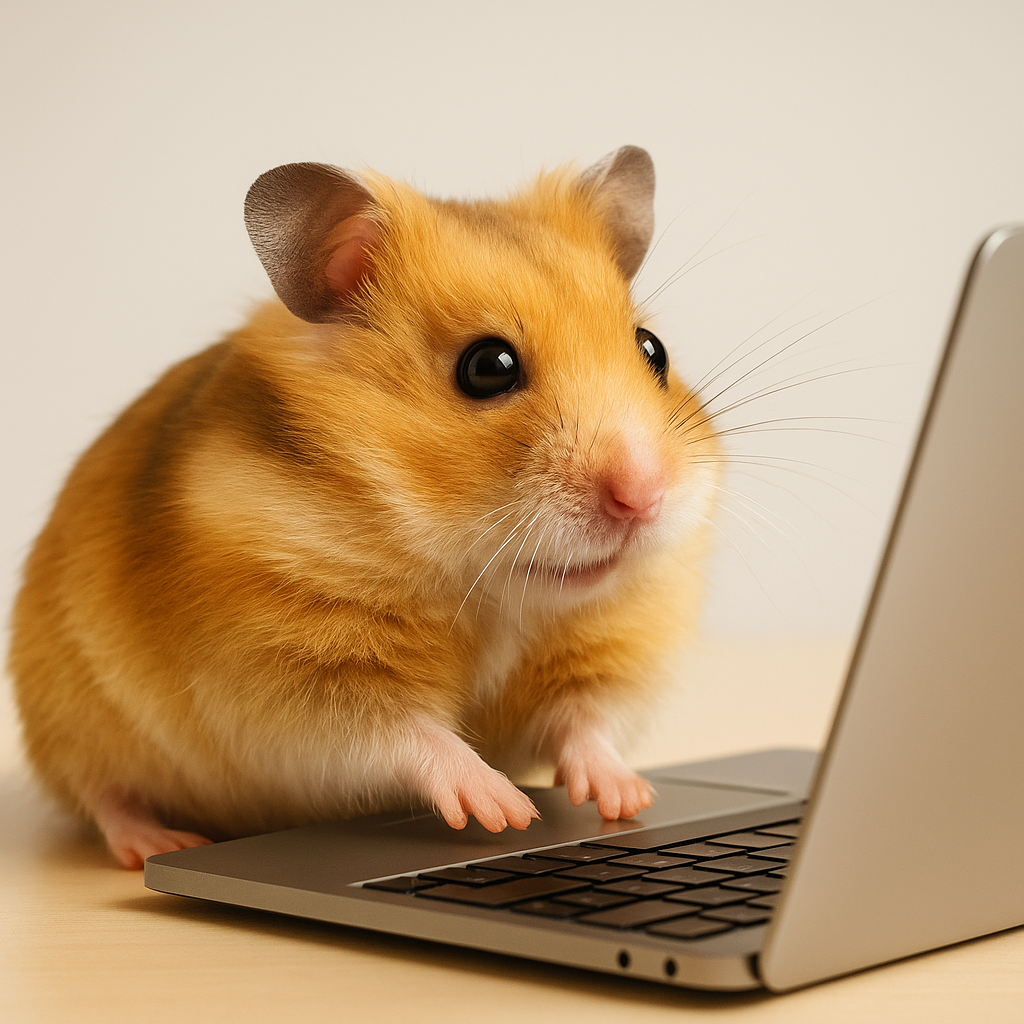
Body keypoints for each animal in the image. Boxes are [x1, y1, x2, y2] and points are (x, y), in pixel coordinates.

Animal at [8, 146, 720, 869]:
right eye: (487, 366)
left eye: (652, 349)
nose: (644, 496)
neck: (489, 588)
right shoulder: (293, 678)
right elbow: (405, 733)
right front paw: (506, 811)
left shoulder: (614, 647)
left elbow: (586, 720)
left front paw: (628, 799)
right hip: (70, 716)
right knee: (104, 795)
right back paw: (160, 841)